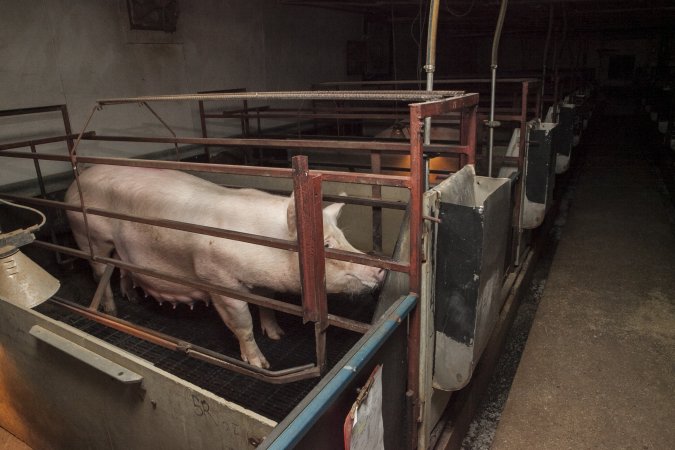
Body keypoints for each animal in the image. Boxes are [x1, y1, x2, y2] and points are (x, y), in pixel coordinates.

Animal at [68, 165, 388, 370]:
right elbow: (242, 324)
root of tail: (77, 179)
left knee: (121, 270)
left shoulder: (261, 283)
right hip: (90, 239)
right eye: (327, 245)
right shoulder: (219, 281)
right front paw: (261, 364)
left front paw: (278, 334)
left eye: (343, 236)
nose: (381, 268)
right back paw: (111, 313)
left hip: (118, 250)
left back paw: (132, 299)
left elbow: (267, 305)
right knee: (101, 275)